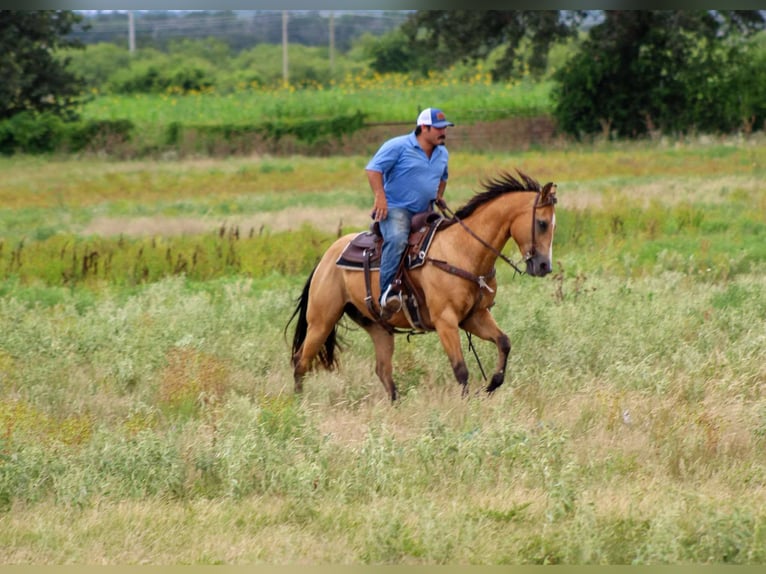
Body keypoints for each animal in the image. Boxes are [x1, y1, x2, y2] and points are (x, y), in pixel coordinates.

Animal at [286, 170, 558, 402]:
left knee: (383, 370)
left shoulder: (475, 316)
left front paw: (491, 386)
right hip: (322, 320)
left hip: (379, 328)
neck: (462, 250)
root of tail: (327, 257)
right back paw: (300, 405)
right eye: (542, 223)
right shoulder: (445, 320)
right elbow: (461, 369)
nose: (544, 266)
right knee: (301, 360)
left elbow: (504, 342)